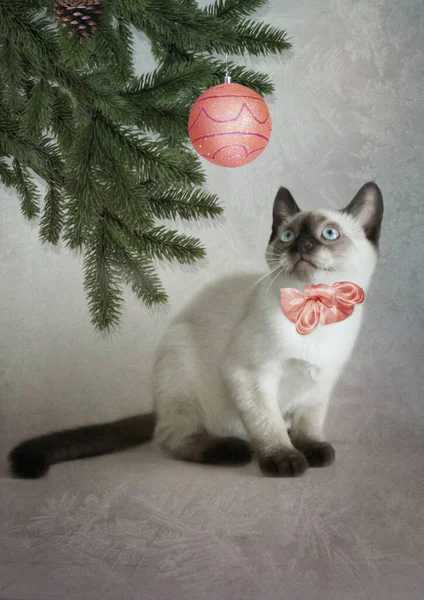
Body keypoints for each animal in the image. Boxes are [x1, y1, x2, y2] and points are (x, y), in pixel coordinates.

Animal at [9, 183, 382, 478]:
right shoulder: (249, 375)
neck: (315, 314)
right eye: (288, 236)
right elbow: (269, 423)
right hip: (181, 364)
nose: (299, 245)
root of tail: (157, 406)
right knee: (174, 438)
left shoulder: (320, 384)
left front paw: (312, 449)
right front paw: (284, 458)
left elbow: (308, 424)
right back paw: (233, 449)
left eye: (329, 234)